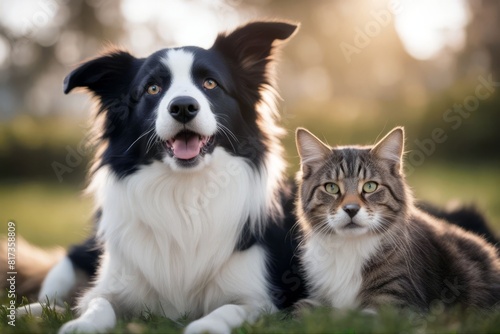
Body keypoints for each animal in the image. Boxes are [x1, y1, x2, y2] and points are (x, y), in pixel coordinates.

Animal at [40, 21, 304, 334]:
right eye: (152, 88)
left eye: (210, 83)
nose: (183, 107)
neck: (185, 192)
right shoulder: (113, 283)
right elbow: (98, 303)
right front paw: (83, 325)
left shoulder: (258, 299)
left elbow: (227, 310)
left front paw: (205, 327)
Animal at [294, 127, 500, 310]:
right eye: (331, 187)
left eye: (370, 186)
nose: (351, 209)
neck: (350, 247)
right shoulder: (317, 298)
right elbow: (300, 309)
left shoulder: (395, 302)